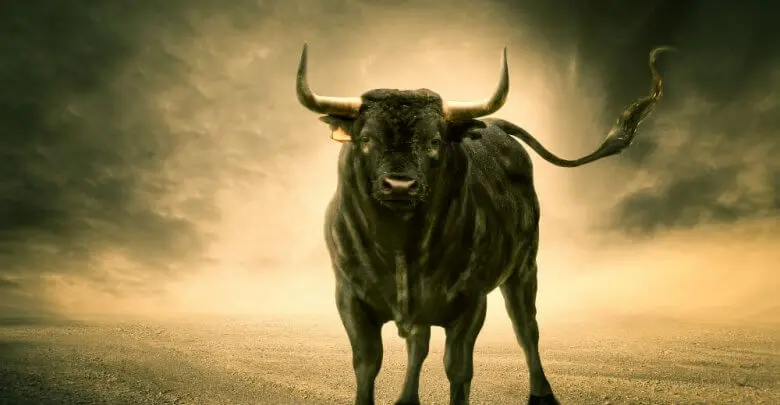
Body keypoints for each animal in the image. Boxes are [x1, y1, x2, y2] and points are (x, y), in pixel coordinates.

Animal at [296, 43, 673, 405]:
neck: (403, 247)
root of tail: (495, 126)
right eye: (367, 139)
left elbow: (458, 367)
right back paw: (406, 398)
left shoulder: (471, 302)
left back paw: (541, 392)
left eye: (434, 141)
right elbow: (367, 363)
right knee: (419, 343)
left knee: (527, 329)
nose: (400, 185)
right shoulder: (349, 297)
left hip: (524, 268)